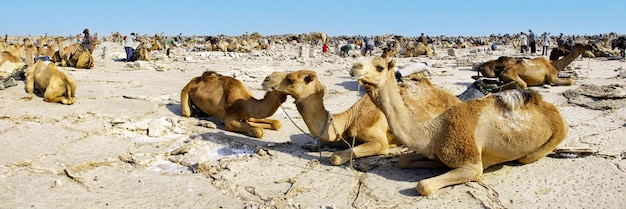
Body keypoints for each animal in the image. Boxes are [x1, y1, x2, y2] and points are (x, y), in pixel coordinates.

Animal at [264, 70, 458, 165]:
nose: (266, 79)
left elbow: (336, 157)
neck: (347, 120)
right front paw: (311, 145)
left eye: (290, 79)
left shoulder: (377, 140)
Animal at [348, 56, 568, 195]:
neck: (434, 132)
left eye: (379, 66)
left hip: (556, 135)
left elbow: (423, 185)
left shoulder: (472, 165)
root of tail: (552, 108)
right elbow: (403, 160)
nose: (354, 67)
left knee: (527, 157)